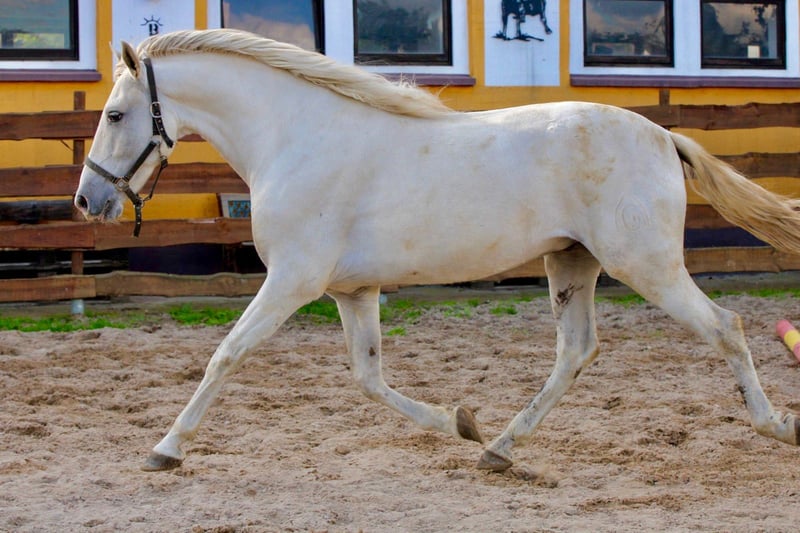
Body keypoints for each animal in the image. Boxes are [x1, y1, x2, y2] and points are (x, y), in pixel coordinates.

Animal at [74, 29, 800, 473]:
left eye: (114, 115)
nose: (87, 201)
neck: (298, 137)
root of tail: (661, 136)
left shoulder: (292, 281)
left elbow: (226, 354)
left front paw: (165, 448)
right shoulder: (352, 291)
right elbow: (368, 378)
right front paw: (461, 422)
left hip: (644, 264)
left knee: (726, 327)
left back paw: (777, 427)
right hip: (571, 262)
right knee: (576, 351)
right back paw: (498, 448)